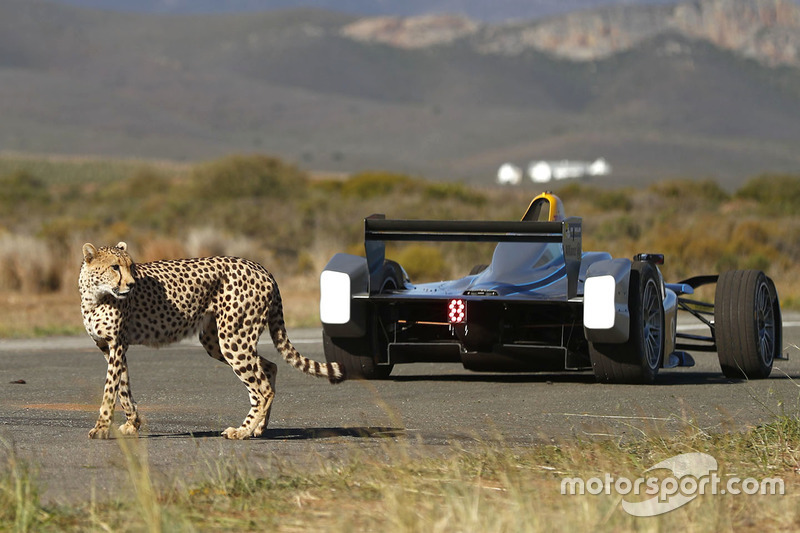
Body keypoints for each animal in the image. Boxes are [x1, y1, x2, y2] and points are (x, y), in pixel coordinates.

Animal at [78, 242, 344, 440]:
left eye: (131, 267)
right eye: (115, 267)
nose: (132, 284)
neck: (95, 295)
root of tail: (260, 267)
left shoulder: (117, 344)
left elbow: (109, 390)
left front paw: (101, 428)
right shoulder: (111, 346)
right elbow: (123, 387)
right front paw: (132, 423)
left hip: (234, 338)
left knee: (262, 388)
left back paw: (242, 431)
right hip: (215, 340)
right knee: (269, 368)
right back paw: (259, 427)